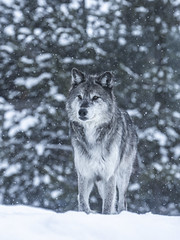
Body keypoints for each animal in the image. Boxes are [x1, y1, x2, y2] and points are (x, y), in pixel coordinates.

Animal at [66, 68, 138, 215]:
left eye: (95, 97)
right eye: (79, 97)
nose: (82, 111)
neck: (92, 135)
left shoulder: (109, 175)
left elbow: (107, 204)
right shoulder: (84, 173)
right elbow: (82, 201)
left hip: (122, 175)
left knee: (121, 201)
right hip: (99, 182)